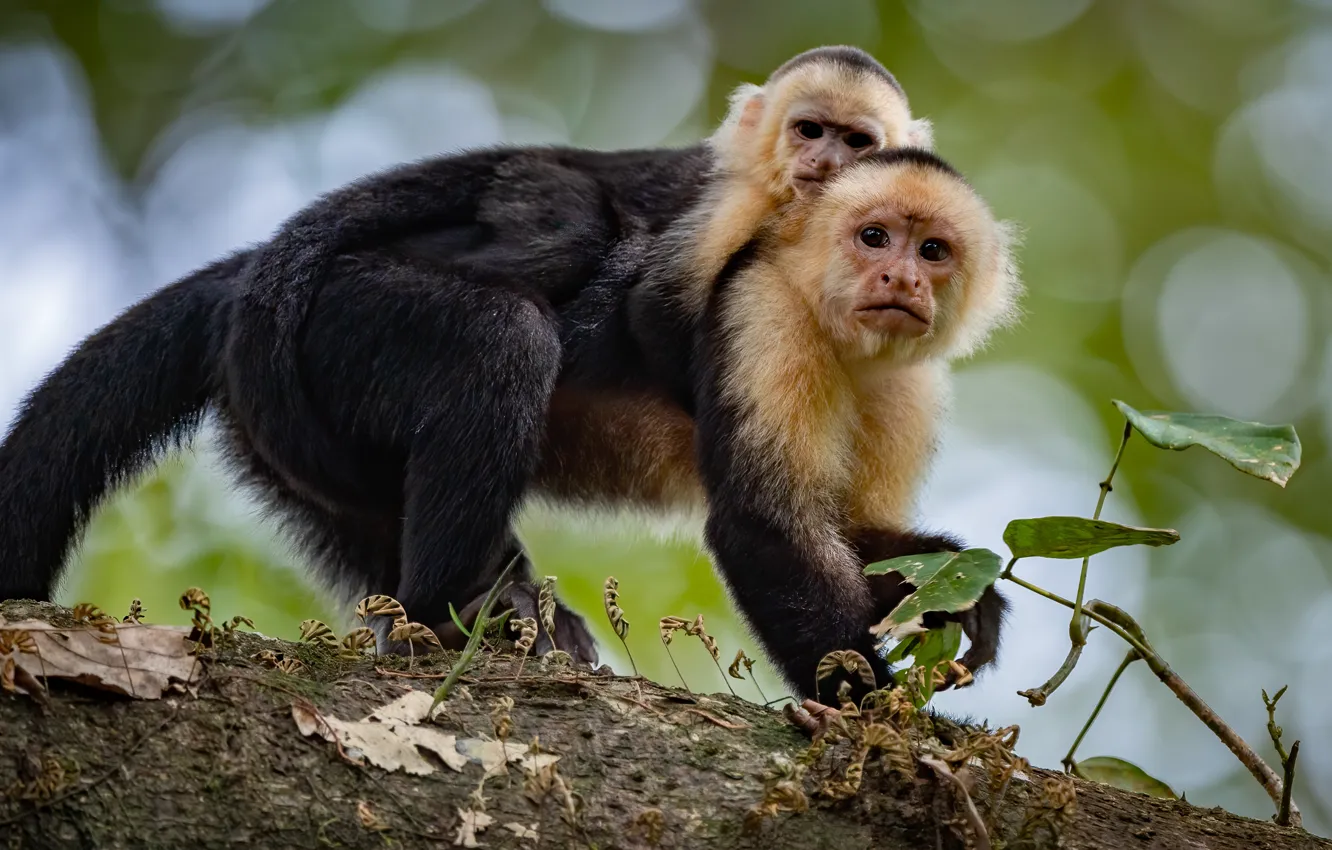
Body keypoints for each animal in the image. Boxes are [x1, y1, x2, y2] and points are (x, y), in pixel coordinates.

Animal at [0, 46, 927, 670]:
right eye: (810, 130)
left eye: (856, 140)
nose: (823, 164)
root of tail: (241, 287)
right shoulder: (724, 215)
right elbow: (654, 320)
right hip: (351, 321)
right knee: (511, 322)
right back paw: (449, 609)